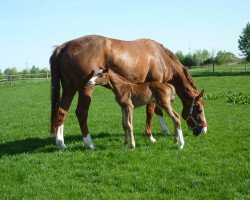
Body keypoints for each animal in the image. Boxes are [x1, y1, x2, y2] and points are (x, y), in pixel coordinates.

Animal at [49, 34, 207, 150]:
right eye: (199, 108)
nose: (203, 130)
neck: (160, 56)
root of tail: (65, 46)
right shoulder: (154, 85)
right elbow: (151, 111)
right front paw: (151, 136)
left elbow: (157, 111)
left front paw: (166, 131)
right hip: (85, 88)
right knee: (81, 112)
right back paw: (89, 143)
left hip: (69, 88)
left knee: (62, 111)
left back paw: (61, 143)